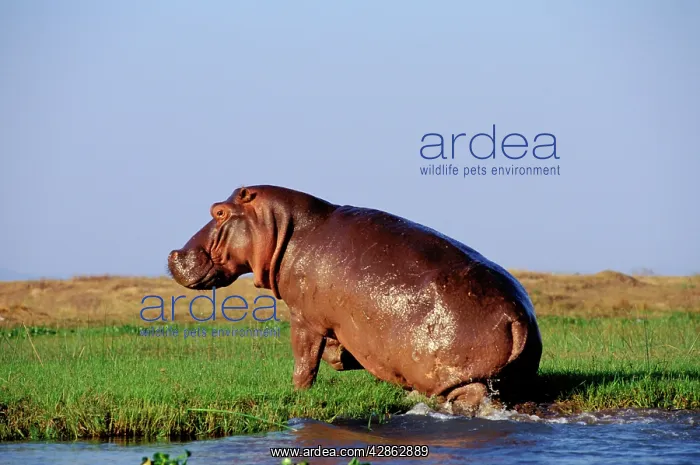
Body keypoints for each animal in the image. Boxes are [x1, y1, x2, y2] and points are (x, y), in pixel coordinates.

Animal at [168, 185, 542, 412]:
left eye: (218, 211)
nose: (174, 253)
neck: (281, 226)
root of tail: (517, 317)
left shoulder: (303, 317)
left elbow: (305, 360)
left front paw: (298, 393)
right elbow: (332, 353)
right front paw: (342, 358)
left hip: (464, 379)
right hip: (518, 375)